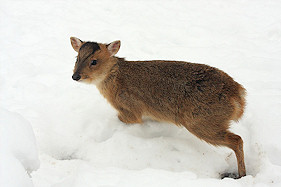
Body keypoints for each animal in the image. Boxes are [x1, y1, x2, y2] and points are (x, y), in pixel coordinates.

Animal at [69, 36, 245, 178]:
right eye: (77, 58)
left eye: (94, 61)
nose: (75, 76)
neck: (115, 79)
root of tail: (238, 96)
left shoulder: (131, 110)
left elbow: (124, 118)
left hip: (202, 122)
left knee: (237, 140)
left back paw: (242, 174)